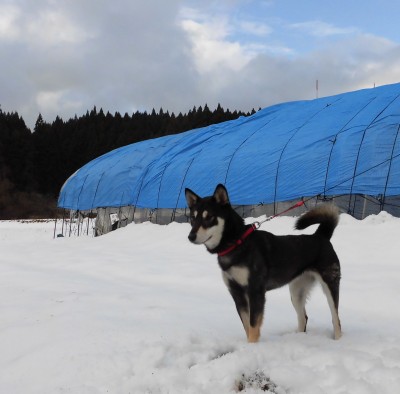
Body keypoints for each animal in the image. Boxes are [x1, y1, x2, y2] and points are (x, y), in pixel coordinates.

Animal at [184, 185, 340, 342]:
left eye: (209, 217)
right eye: (192, 218)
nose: (191, 236)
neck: (237, 243)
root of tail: (320, 236)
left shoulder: (255, 291)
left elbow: (253, 326)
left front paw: (253, 345)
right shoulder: (237, 294)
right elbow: (247, 326)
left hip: (329, 286)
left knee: (336, 319)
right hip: (297, 291)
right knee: (303, 317)